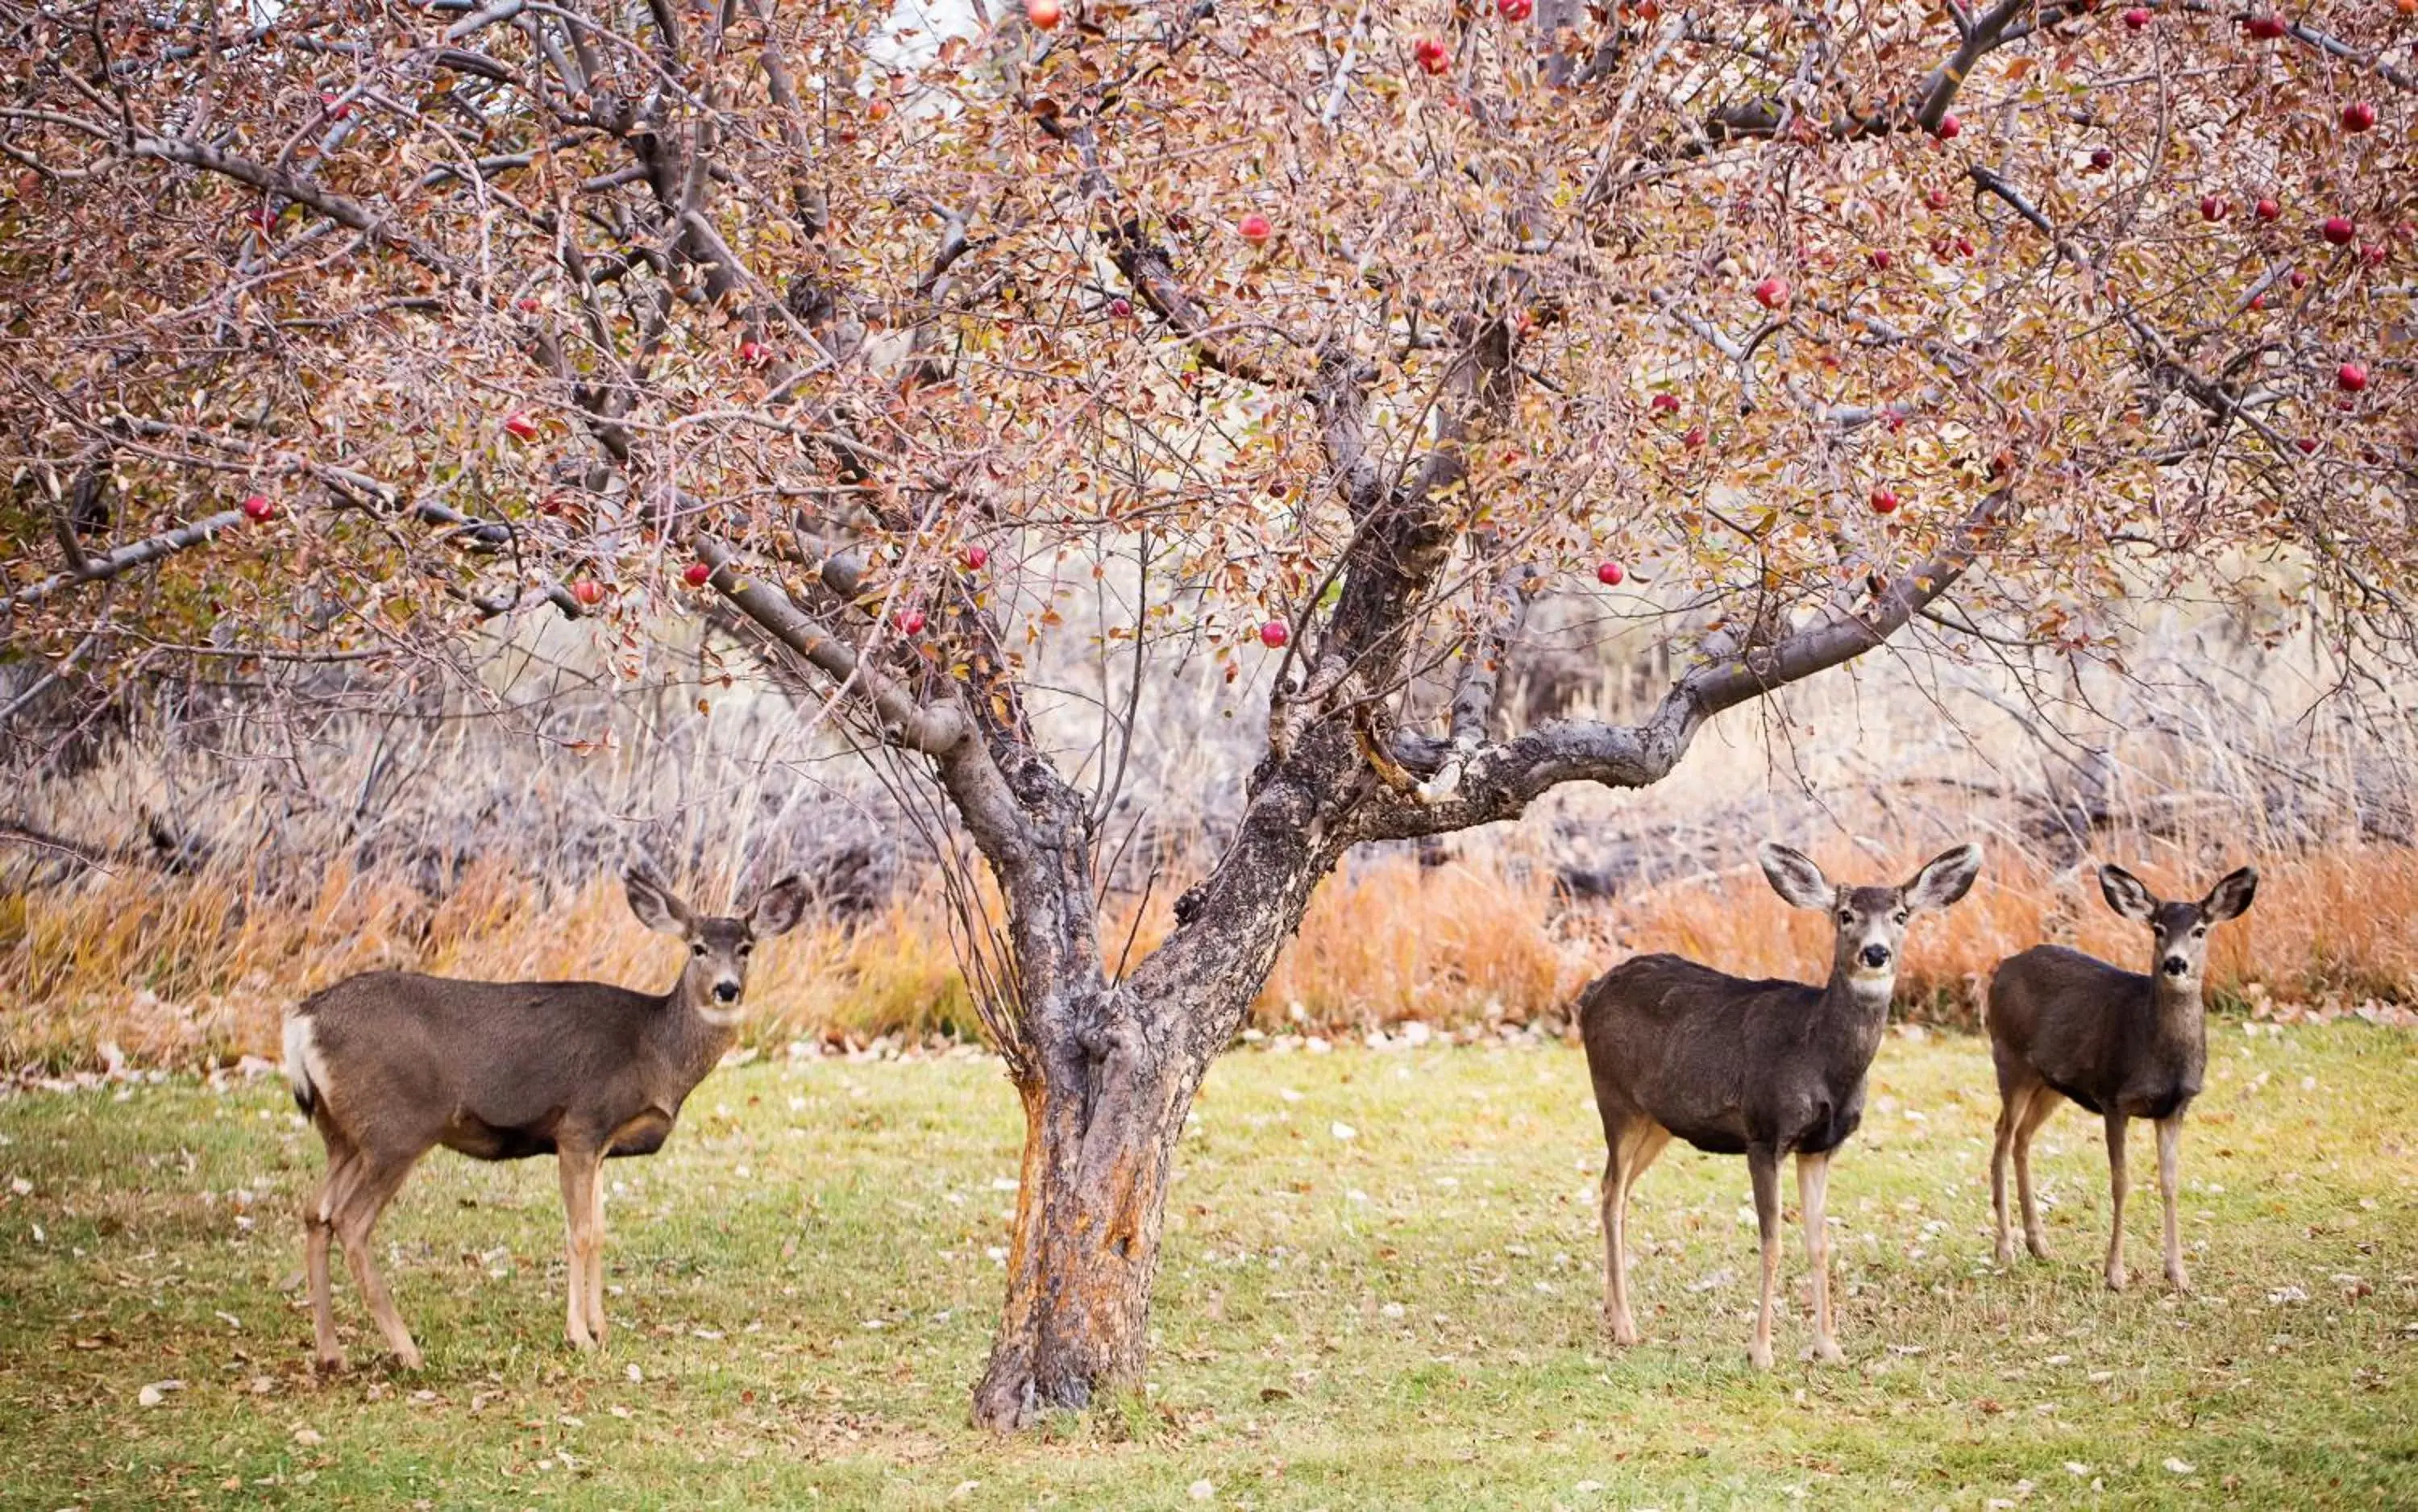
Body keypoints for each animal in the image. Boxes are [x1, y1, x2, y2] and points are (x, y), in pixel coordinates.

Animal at [284, 861, 808, 1364]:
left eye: (745, 948)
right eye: (698, 948)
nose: (727, 989)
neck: (655, 1051)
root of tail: (304, 1020)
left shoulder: (602, 1145)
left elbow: (600, 1231)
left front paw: (601, 1328)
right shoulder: (580, 1124)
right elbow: (579, 1233)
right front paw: (580, 1337)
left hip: (344, 1134)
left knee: (316, 1212)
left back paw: (331, 1353)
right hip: (395, 1129)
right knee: (351, 1222)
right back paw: (407, 1351)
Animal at [1586, 837, 1983, 1364]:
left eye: (1901, 915)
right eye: (1845, 914)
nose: (1876, 952)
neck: (1820, 1058)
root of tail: (1587, 994)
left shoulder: (1821, 1146)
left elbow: (1820, 1242)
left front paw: (1829, 1347)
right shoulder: (1764, 1131)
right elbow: (1772, 1242)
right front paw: (1761, 1353)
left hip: (1658, 1121)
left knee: (1617, 1189)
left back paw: (1613, 1313)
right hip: (1615, 1100)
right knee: (1612, 1194)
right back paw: (1626, 1325)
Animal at [1992, 861, 2254, 1286]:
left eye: (2200, 930)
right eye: (2158, 929)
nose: (2175, 963)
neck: (2159, 1056)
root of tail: (2000, 967)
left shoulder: (2176, 1107)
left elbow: (2170, 1183)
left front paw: (2178, 1274)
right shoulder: (2114, 1097)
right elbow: (2121, 1183)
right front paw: (2115, 1273)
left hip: (2051, 1083)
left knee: (2022, 1138)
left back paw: (2039, 1245)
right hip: (2010, 1059)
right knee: (2001, 1136)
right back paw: (2005, 1248)